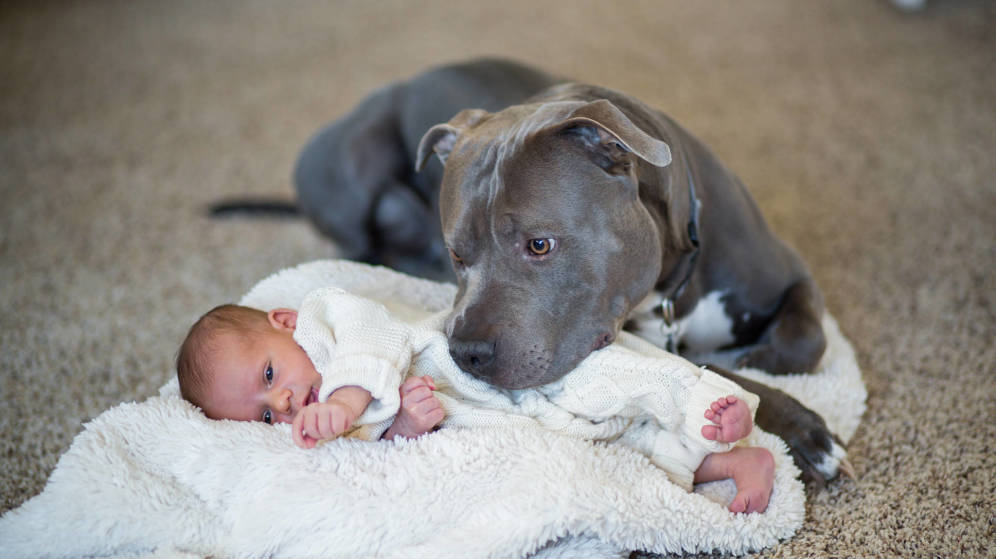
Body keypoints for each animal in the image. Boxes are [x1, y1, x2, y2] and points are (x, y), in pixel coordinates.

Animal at [292, 58, 852, 486]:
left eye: (540, 244)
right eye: (459, 255)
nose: (465, 353)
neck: (675, 283)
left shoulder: (792, 272)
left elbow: (806, 339)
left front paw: (764, 361)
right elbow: (718, 376)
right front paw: (803, 428)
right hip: (354, 166)